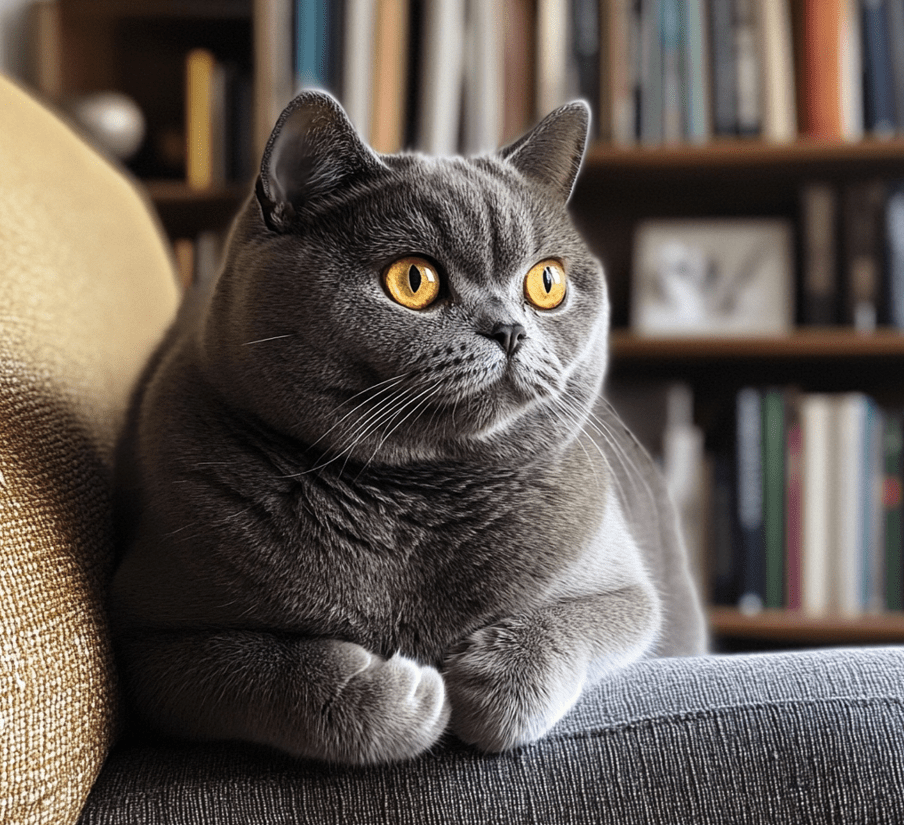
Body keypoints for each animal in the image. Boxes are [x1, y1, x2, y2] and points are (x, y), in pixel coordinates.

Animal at [111, 90, 708, 768]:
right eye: (414, 280)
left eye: (546, 282)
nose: (510, 329)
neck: (418, 496)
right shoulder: (151, 642)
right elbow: (263, 668)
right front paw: (406, 697)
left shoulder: (625, 589)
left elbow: (575, 621)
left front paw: (492, 685)